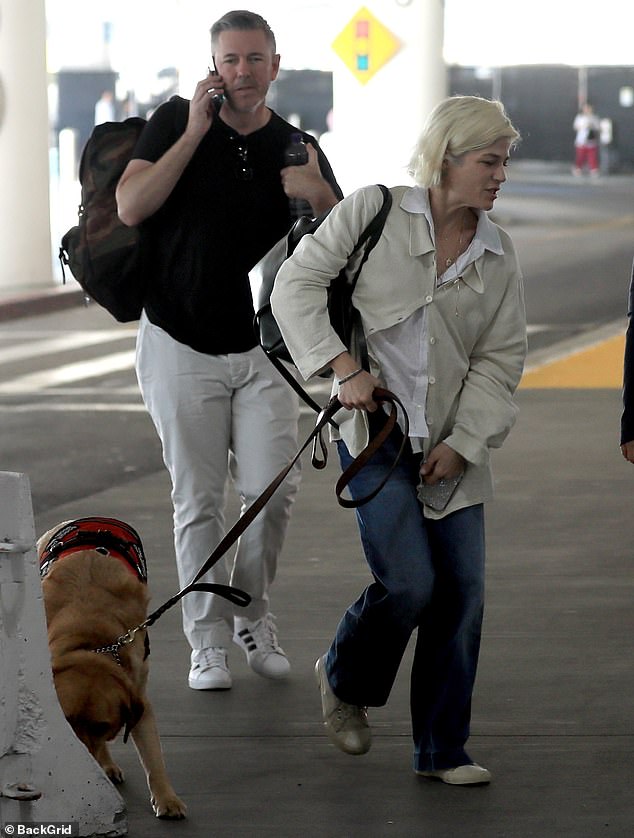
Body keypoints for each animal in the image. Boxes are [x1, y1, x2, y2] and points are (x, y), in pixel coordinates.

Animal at [38, 520, 185, 820]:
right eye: (65, 721)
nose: (78, 767)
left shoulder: (139, 699)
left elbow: (154, 757)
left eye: (103, 726)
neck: (91, 643)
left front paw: (166, 798)